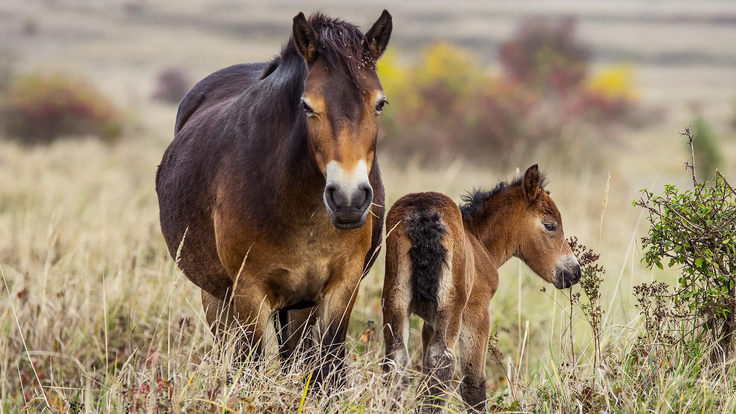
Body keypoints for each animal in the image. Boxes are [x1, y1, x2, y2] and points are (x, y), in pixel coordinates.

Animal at [157, 10, 392, 384]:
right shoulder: (249, 294)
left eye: (380, 104)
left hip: (299, 307)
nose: (348, 199)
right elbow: (249, 367)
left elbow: (328, 369)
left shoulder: (342, 288)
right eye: (307, 106)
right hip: (218, 298)